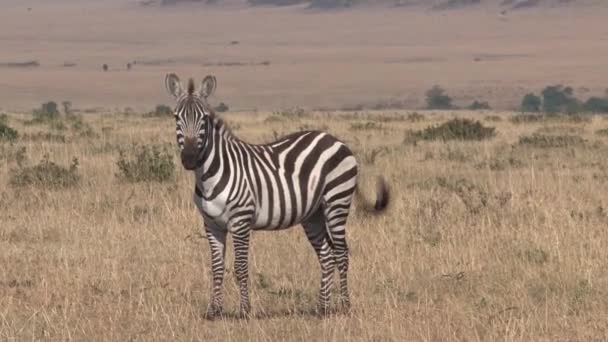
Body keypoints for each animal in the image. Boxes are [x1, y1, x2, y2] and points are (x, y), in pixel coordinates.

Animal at [165, 72, 390, 318]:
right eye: (176, 117)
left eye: (204, 119)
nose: (189, 158)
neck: (209, 176)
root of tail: (335, 140)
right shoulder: (211, 225)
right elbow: (216, 268)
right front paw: (214, 311)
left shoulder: (241, 220)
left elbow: (240, 268)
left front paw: (245, 311)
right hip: (314, 214)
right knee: (327, 256)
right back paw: (322, 308)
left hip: (337, 202)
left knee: (341, 253)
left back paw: (345, 306)